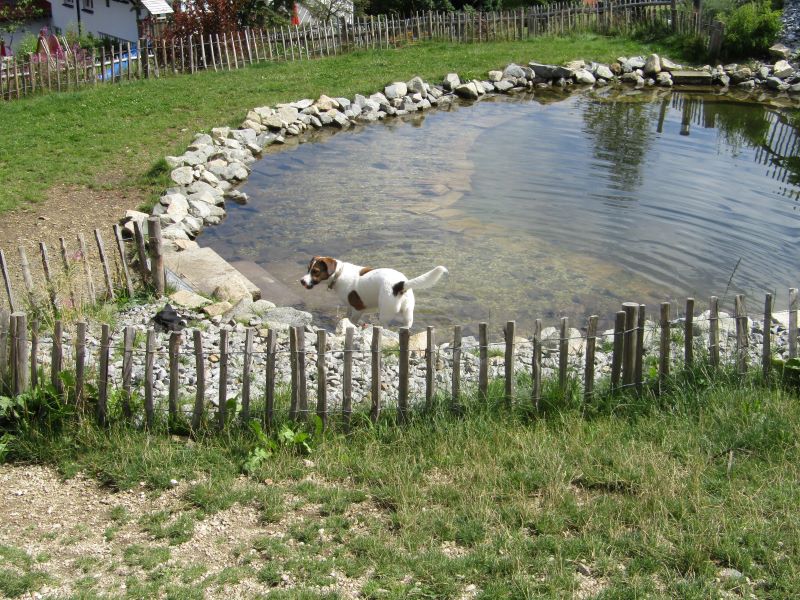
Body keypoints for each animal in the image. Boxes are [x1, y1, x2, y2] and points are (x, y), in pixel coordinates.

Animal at [302, 254, 450, 328]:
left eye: (315, 271)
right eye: (308, 269)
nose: (302, 281)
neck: (339, 274)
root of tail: (400, 284)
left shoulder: (358, 308)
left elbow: (353, 320)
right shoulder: (350, 306)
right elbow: (347, 315)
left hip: (385, 314)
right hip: (408, 313)